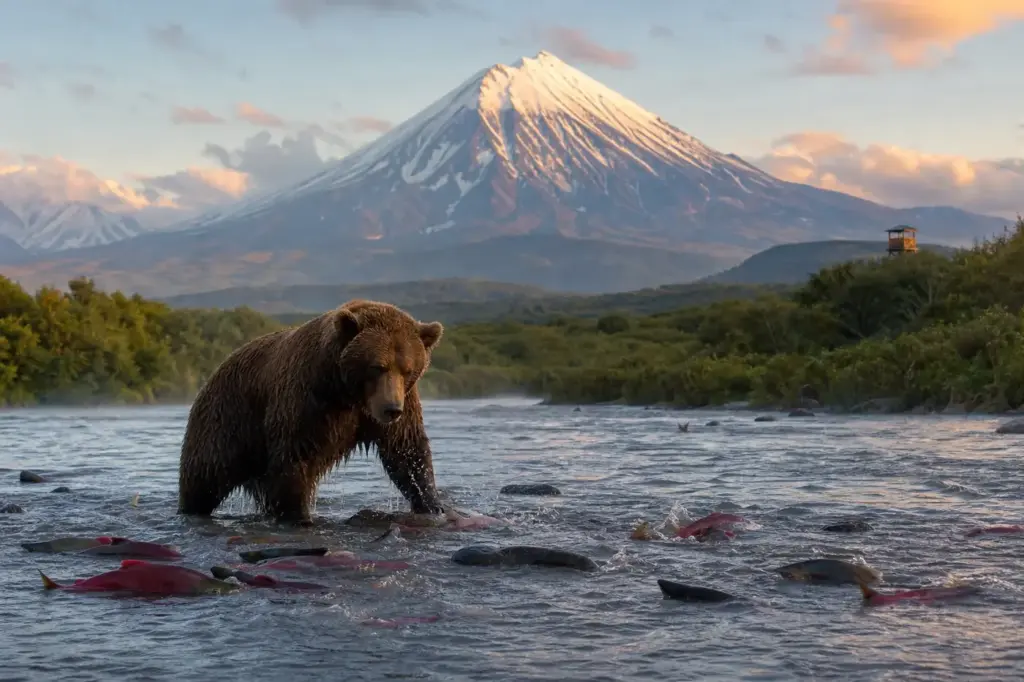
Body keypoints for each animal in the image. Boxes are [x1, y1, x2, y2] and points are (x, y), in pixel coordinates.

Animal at [177, 299, 445, 524]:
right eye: (377, 366)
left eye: (408, 369)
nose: (391, 409)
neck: (345, 391)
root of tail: (212, 375)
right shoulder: (307, 399)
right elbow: (296, 456)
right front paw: (298, 515)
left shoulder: (398, 404)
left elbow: (407, 452)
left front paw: (432, 505)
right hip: (226, 423)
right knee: (204, 478)